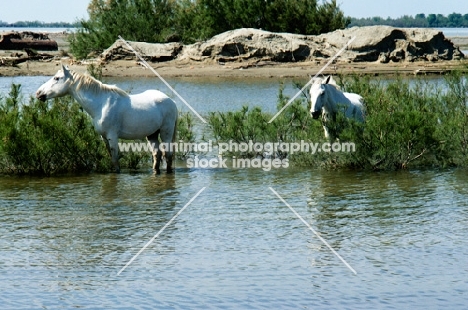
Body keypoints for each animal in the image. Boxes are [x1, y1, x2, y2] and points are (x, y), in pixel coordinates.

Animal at [36, 65, 177, 174]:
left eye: (56, 78)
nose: (38, 93)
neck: (101, 104)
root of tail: (171, 101)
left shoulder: (112, 136)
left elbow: (115, 159)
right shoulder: (104, 137)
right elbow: (111, 158)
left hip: (166, 132)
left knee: (168, 155)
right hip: (152, 134)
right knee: (157, 154)